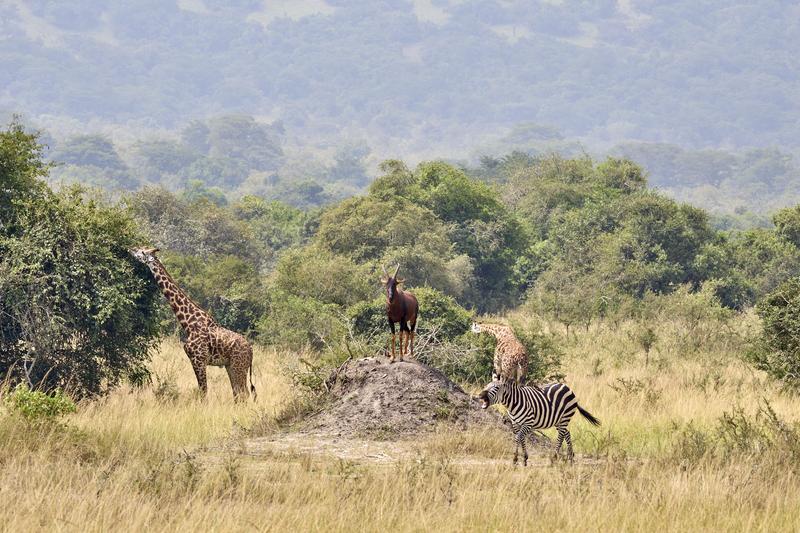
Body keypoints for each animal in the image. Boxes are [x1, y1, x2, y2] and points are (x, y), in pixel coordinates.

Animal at [130, 247, 256, 402]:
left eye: (142, 252)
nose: (130, 249)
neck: (188, 323)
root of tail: (251, 350)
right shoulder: (196, 360)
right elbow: (203, 391)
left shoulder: (198, 360)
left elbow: (203, 392)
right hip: (231, 366)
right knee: (238, 393)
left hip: (239, 366)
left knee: (243, 393)